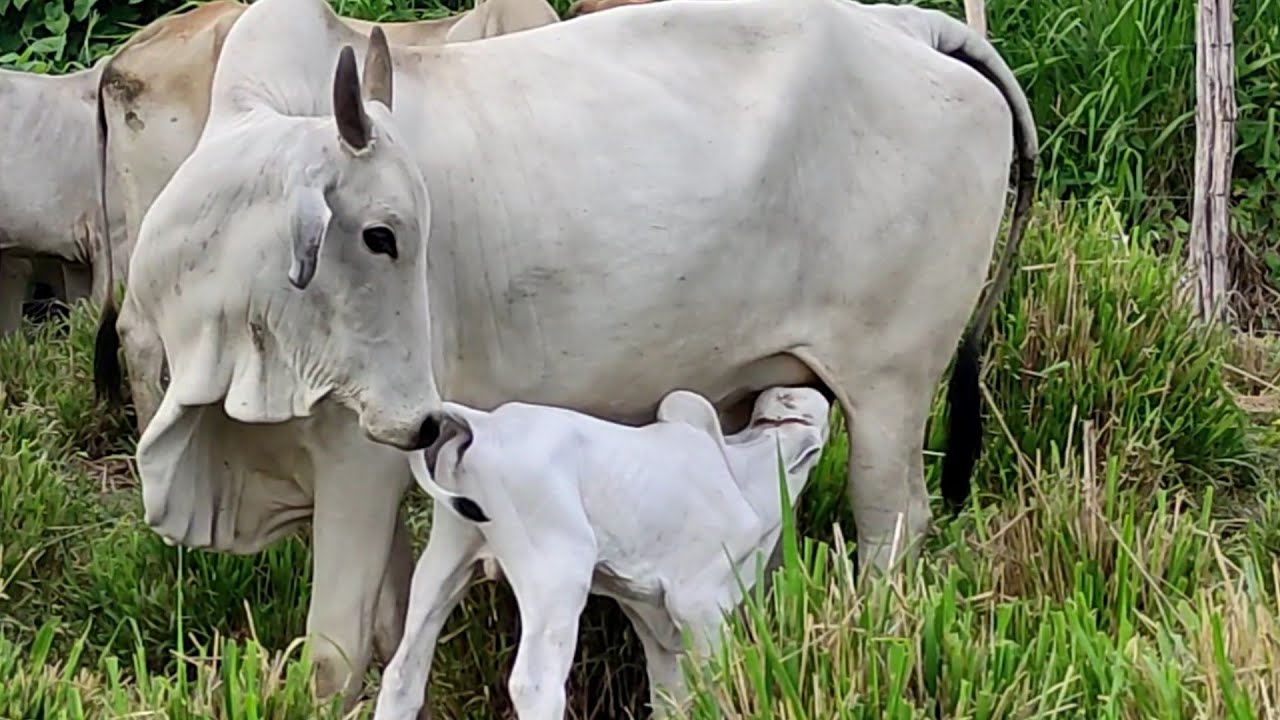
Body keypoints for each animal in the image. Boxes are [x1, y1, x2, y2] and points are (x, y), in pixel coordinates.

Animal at [374, 387, 831, 720]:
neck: (747, 476)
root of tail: (483, 422)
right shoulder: (698, 604)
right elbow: (716, 681)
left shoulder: (655, 618)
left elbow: (670, 698)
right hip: (557, 573)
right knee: (535, 686)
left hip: (447, 556)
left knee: (401, 675)